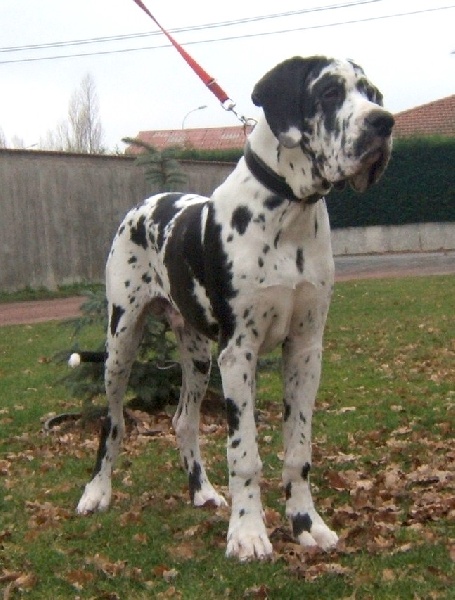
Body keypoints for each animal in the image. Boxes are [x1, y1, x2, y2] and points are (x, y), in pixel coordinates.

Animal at [76, 56, 394, 564]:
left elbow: (298, 450)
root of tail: (149, 201)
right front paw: (248, 534)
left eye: (373, 94)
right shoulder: (239, 352)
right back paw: (96, 493)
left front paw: (307, 525)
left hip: (199, 355)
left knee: (183, 420)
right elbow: (244, 455)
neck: (289, 211)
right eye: (328, 92)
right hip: (122, 340)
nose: (384, 123)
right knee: (113, 422)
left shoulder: (305, 350)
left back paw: (202, 491)